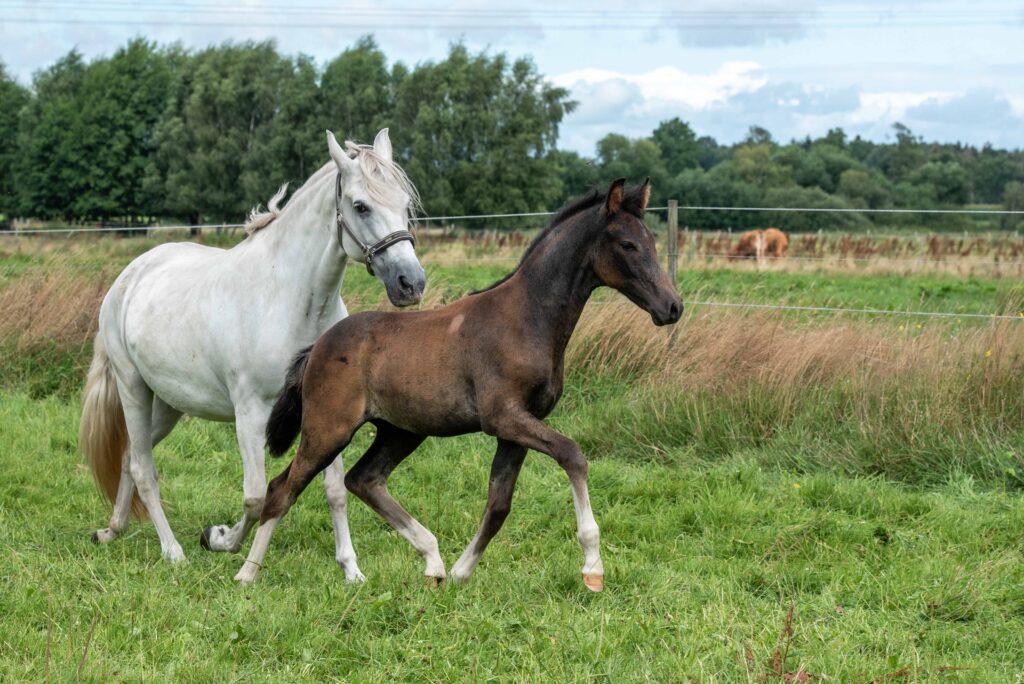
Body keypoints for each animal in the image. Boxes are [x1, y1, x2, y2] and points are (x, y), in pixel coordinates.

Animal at [74, 126, 419, 577]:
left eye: (405, 204)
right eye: (360, 206)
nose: (411, 282)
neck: (291, 300)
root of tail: (129, 276)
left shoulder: (329, 408)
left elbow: (334, 491)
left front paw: (351, 568)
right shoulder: (250, 413)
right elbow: (256, 497)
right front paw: (220, 539)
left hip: (166, 403)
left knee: (132, 454)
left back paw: (112, 530)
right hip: (133, 389)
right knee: (143, 468)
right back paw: (173, 552)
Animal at [235, 179, 684, 589]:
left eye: (652, 242)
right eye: (628, 245)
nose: (672, 307)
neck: (527, 318)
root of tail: (317, 347)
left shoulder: (515, 429)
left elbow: (499, 505)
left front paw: (460, 571)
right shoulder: (503, 417)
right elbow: (573, 455)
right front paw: (593, 566)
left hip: (399, 431)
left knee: (363, 479)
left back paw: (433, 561)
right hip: (328, 430)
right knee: (282, 489)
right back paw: (246, 574)